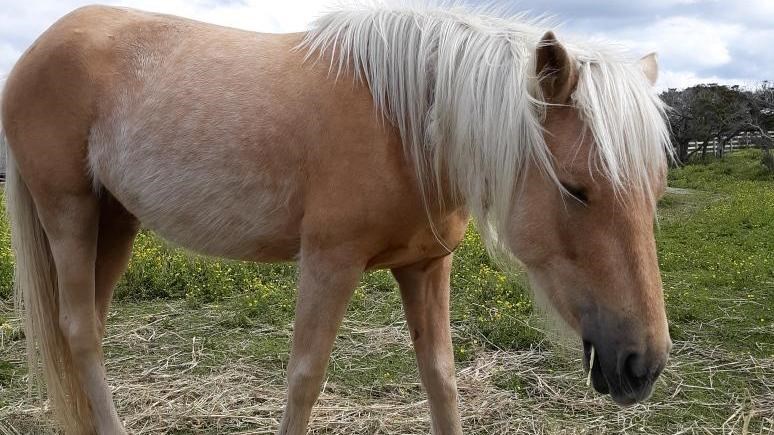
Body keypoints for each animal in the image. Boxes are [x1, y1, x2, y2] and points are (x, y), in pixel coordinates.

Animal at [1, 4, 672, 435]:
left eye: (656, 190)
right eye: (576, 188)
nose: (643, 365)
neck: (406, 123)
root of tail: (37, 49)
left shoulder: (426, 266)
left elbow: (442, 382)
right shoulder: (329, 261)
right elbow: (305, 378)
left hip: (115, 223)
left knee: (85, 328)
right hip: (69, 213)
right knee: (81, 333)